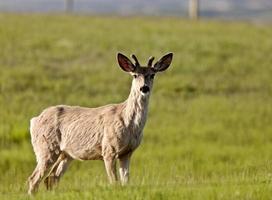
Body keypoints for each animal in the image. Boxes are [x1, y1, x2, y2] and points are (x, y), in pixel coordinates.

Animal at [27, 52, 172, 195]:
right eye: (135, 75)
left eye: (152, 75)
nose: (144, 88)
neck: (129, 124)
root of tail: (34, 120)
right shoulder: (108, 149)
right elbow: (114, 182)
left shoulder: (127, 152)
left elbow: (125, 181)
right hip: (46, 147)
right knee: (34, 178)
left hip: (66, 154)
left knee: (52, 178)